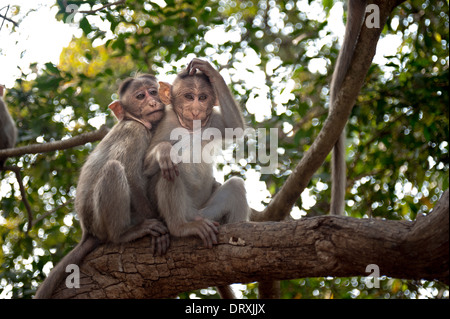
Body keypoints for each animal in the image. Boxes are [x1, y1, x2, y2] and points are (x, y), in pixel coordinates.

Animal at [34, 75, 171, 300]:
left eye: (153, 92)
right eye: (140, 96)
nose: (153, 102)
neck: (133, 120)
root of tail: (88, 231)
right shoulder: (134, 133)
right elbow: (132, 177)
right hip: (100, 220)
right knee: (114, 169)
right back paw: (124, 233)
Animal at [144, 59, 250, 300]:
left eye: (202, 97)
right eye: (188, 96)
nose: (196, 109)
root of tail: (195, 215)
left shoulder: (214, 120)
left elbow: (235, 126)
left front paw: (211, 71)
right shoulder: (165, 123)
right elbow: (146, 167)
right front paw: (163, 151)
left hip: (209, 213)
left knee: (236, 186)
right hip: (186, 211)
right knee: (169, 172)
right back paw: (180, 227)